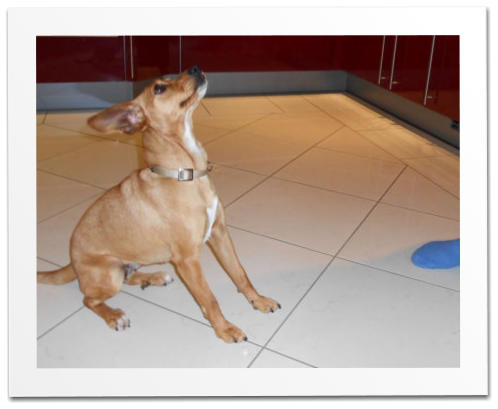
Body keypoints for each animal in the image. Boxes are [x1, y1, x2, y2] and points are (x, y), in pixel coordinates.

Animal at [37, 65, 280, 343]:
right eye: (159, 88)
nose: (195, 67)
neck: (185, 173)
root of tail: (72, 262)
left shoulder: (220, 234)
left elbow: (240, 273)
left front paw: (258, 300)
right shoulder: (188, 259)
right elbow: (209, 298)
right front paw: (225, 329)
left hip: (136, 259)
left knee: (127, 278)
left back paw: (152, 277)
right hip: (109, 272)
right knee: (89, 299)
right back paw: (114, 315)